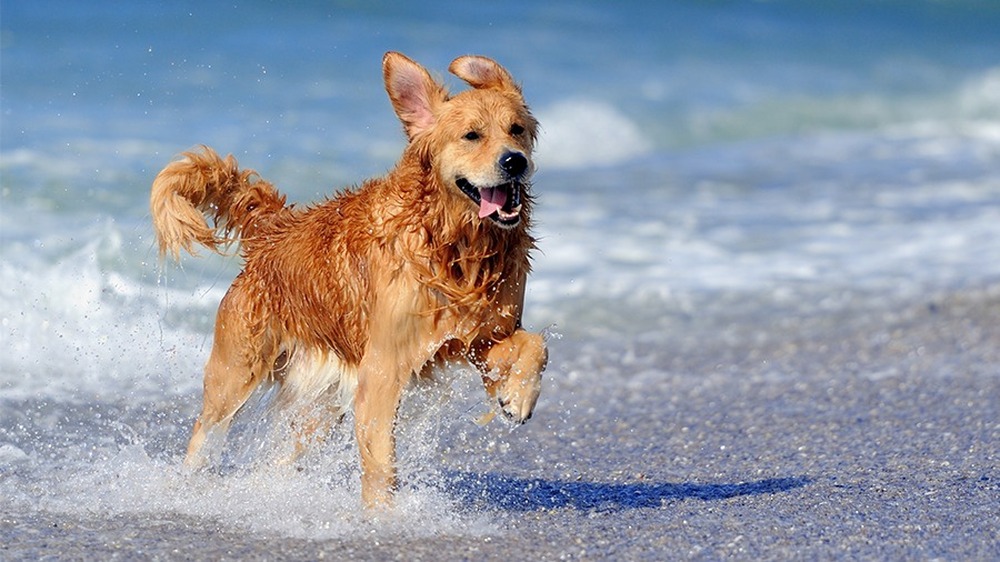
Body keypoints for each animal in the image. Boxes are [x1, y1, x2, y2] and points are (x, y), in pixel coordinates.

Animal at [150, 52, 548, 506]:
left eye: (516, 130)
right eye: (471, 135)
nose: (514, 161)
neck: (454, 244)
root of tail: (274, 231)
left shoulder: (479, 336)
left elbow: (534, 344)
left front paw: (517, 397)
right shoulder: (384, 367)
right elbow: (380, 462)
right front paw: (383, 515)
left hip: (321, 403)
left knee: (285, 455)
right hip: (237, 371)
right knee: (205, 431)